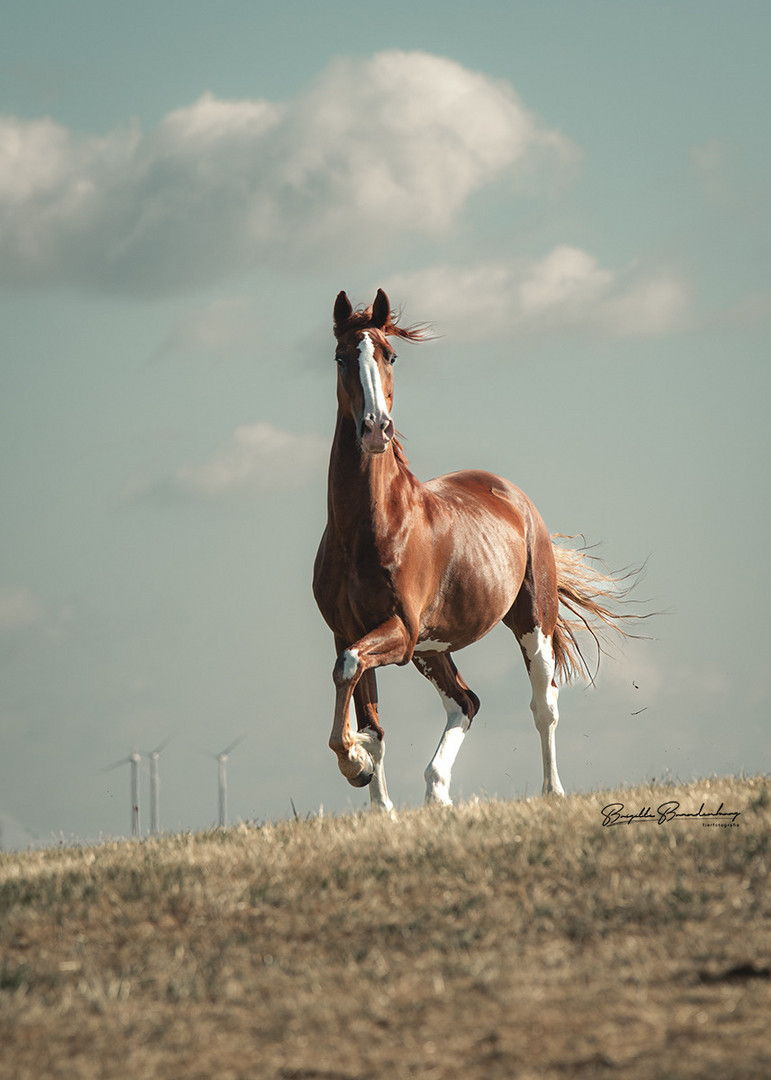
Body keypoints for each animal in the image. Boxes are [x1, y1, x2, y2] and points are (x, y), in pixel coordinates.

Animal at [313, 287, 630, 812]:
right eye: (341, 357)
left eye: (389, 354)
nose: (376, 429)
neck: (369, 529)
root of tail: (513, 495)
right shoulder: (348, 632)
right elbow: (367, 716)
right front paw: (375, 800)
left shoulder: (397, 630)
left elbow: (351, 672)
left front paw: (352, 764)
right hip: (431, 647)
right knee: (466, 702)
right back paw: (436, 792)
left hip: (530, 621)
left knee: (544, 705)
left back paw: (552, 791)